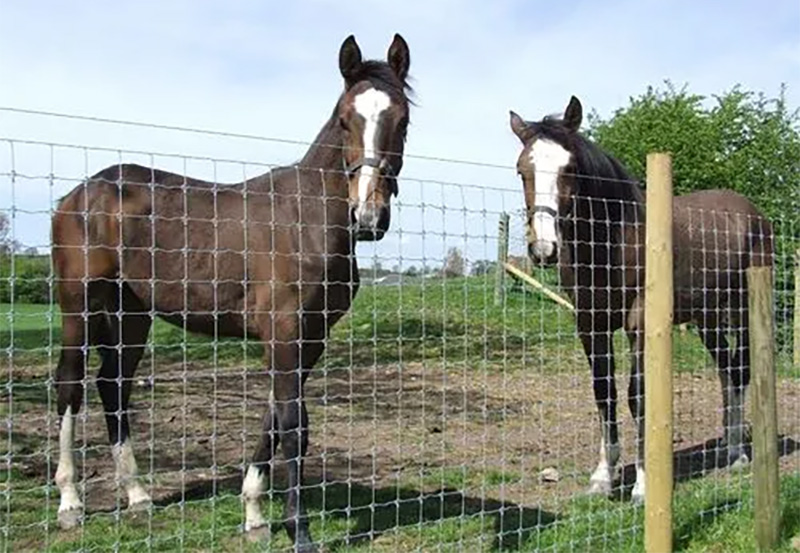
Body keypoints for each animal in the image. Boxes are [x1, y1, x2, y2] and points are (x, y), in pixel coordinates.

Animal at [51, 35, 412, 552]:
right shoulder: (284, 333)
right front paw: (298, 530)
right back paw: (70, 501)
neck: (306, 219)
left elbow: (277, 417)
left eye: (402, 120)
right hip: (79, 305)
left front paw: (255, 513)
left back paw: (138, 494)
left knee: (113, 385)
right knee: (70, 384)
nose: (368, 217)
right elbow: (294, 426)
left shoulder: (310, 338)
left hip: (132, 314)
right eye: (345, 119)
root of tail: (79, 195)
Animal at [510, 97, 772, 502]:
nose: (544, 249)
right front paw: (602, 478)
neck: (616, 239)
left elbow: (639, 395)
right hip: (707, 318)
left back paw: (739, 456)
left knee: (741, 370)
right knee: (727, 373)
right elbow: (604, 392)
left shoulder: (641, 324)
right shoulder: (591, 323)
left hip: (741, 309)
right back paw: (730, 446)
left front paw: (643, 486)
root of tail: (754, 216)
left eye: (570, 168)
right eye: (522, 170)